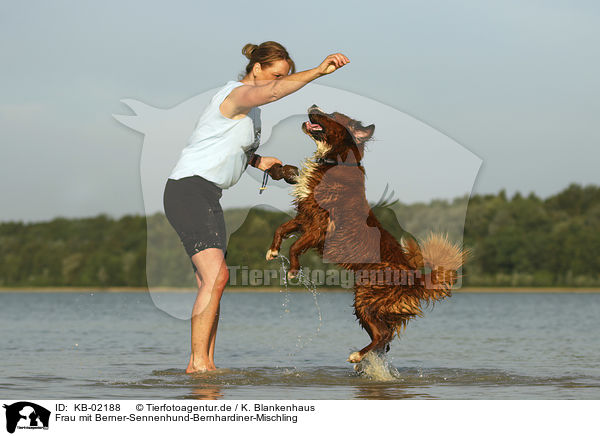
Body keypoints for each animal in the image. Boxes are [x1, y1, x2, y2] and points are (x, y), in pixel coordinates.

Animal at [268, 104, 468, 362]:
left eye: (332, 115)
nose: (312, 105)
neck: (336, 161)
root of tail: (416, 279)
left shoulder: (319, 226)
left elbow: (295, 246)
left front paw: (293, 271)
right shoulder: (305, 217)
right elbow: (281, 229)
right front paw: (272, 251)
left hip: (366, 297)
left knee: (382, 334)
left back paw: (357, 356)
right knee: (386, 337)